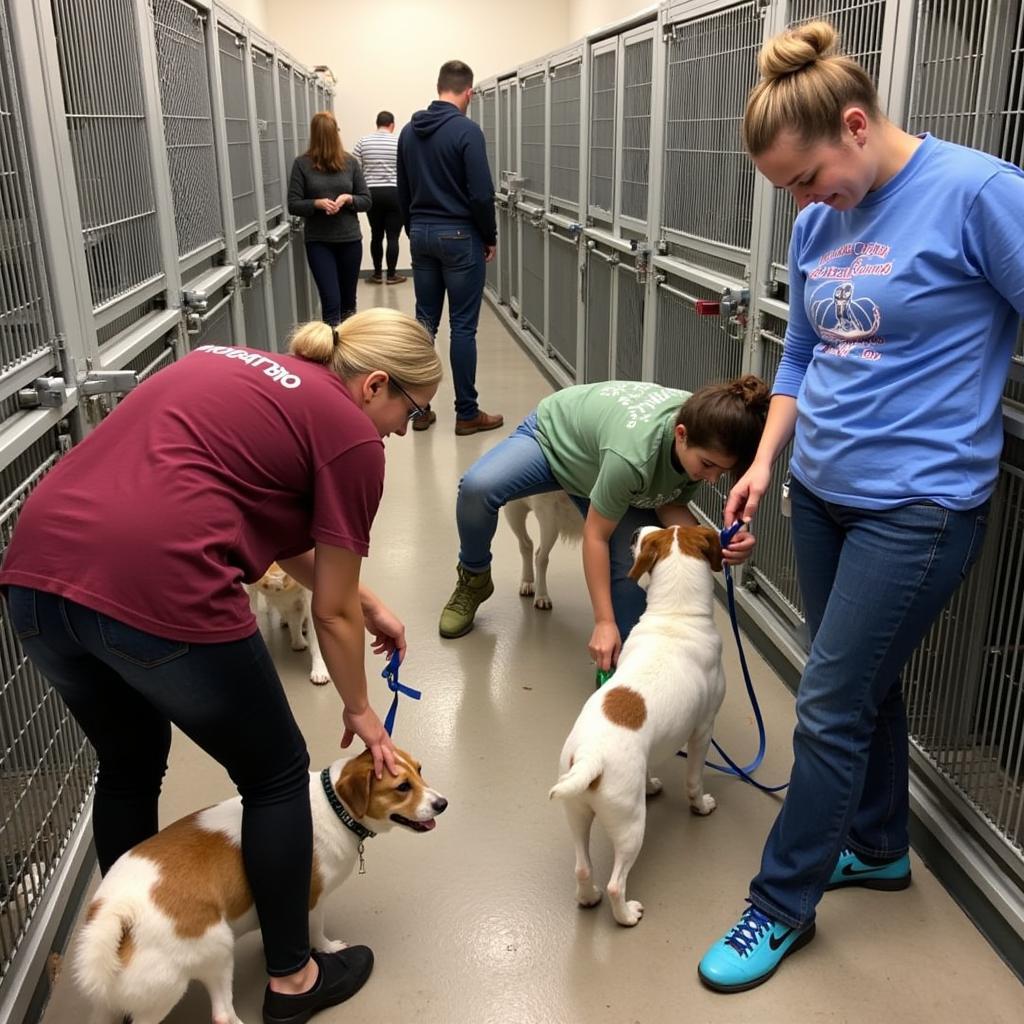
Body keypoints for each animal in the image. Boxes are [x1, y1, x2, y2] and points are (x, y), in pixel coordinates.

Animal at [75, 745, 444, 1024]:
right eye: (402, 787)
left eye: (420, 770)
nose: (443, 803)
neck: (334, 807)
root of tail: (118, 911)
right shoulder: (310, 901)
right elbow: (315, 933)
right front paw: (328, 949)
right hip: (214, 953)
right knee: (221, 1014)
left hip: (107, 1004)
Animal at [548, 528, 724, 929]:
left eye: (654, 536)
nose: (633, 531)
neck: (676, 617)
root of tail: (590, 757)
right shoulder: (703, 730)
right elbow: (694, 781)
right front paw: (700, 805)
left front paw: (652, 785)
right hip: (631, 828)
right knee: (617, 883)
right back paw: (626, 914)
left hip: (575, 813)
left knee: (583, 869)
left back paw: (588, 897)